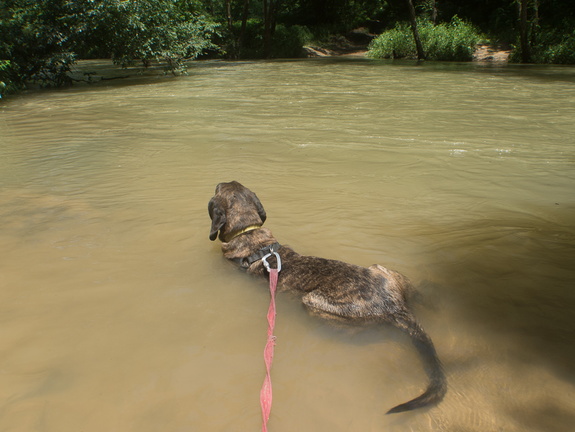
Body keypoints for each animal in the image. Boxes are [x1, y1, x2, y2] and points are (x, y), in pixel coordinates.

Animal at [209, 181, 448, 414]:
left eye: (218, 188)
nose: (220, 181)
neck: (248, 233)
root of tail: (395, 307)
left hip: (313, 303)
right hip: (383, 269)